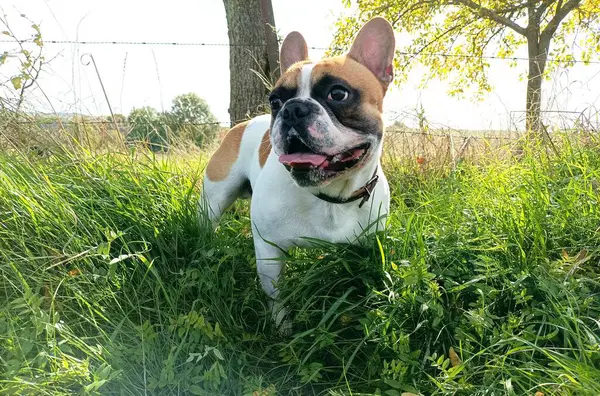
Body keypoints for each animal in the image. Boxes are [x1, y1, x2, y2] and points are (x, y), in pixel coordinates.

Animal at [200, 17, 394, 330]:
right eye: (275, 101)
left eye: (338, 93)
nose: (292, 109)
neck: (331, 197)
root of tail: (241, 124)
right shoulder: (269, 252)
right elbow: (276, 297)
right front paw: (283, 329)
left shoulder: (366, 247)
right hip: (215, 197)